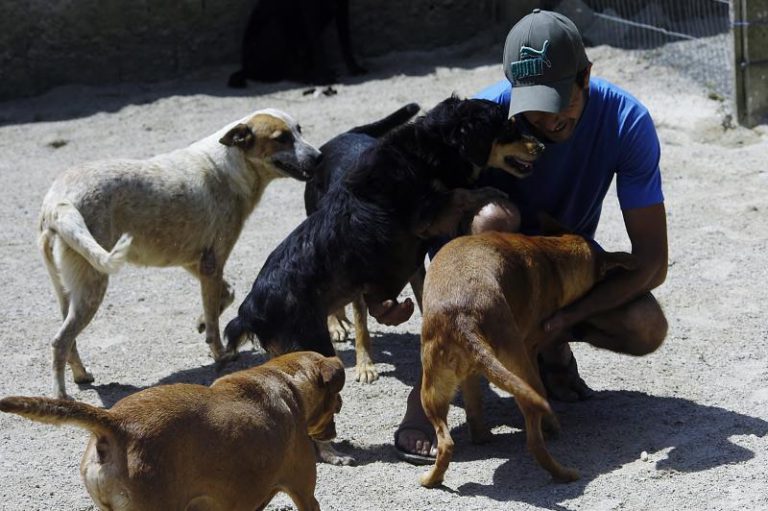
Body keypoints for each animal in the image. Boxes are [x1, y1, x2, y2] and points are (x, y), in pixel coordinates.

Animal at [38, 108, 320, 400]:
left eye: (299, 130)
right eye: (281, 138)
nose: (319, 156)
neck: (230, 165)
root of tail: (58, 203)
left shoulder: (195, 262)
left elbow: (224, 296)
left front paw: (201, 323)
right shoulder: (212, 263)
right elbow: (215, 322)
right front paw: (220, 353)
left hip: (70, 293)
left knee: (70, 340)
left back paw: (81, 375)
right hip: (94, 286)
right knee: (60, 341)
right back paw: (61, 394)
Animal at [228, 0, 366, 87]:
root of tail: (246, 68)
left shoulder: (342, 7)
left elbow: (345, 42)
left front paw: (354, 68)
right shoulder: (310, 12)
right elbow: (320, 47)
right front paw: (326, 77)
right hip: (275, 26)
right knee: (284, 73)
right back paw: (311, 77)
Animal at [414, 232, 636, 488]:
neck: (551, 255)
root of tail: (463, 319)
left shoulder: (469, 377)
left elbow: (474, 406)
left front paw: (482, 436)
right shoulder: (531, 347)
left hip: (433, 393)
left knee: (446, 443)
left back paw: (431, 478)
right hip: (525, 376)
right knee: (535, 442)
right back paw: (563, 471)